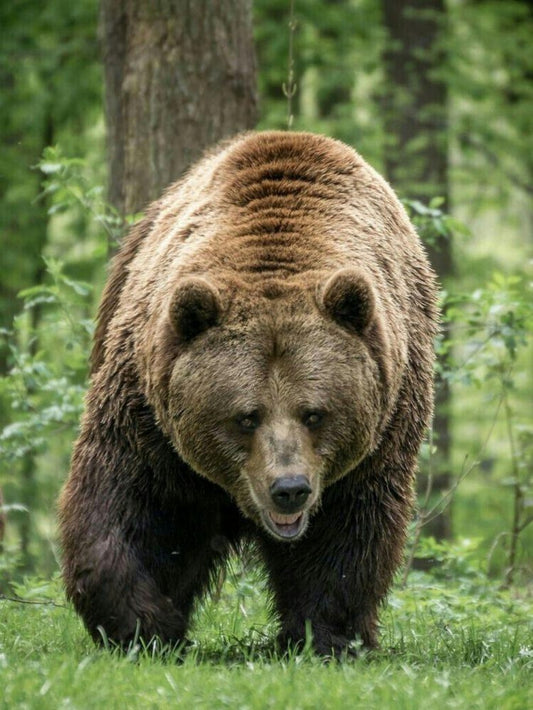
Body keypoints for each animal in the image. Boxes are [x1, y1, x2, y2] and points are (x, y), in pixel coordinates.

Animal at [59, 131, 438, 658]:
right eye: (246, 416)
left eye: (314, 413)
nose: (289, 489)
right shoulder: (148, 416)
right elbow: (128, 502)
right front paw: (144, 623)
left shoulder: (383, 426)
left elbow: (349, 532)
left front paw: (325, 635)